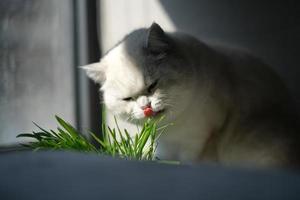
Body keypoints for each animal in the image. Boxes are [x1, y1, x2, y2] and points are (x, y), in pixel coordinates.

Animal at [82, 21, 300, 169]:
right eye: (128, 99)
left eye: (152, 86)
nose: (146, 107)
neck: (174, 128)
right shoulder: (165, 147)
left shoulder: (200, 140)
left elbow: (194, 161)